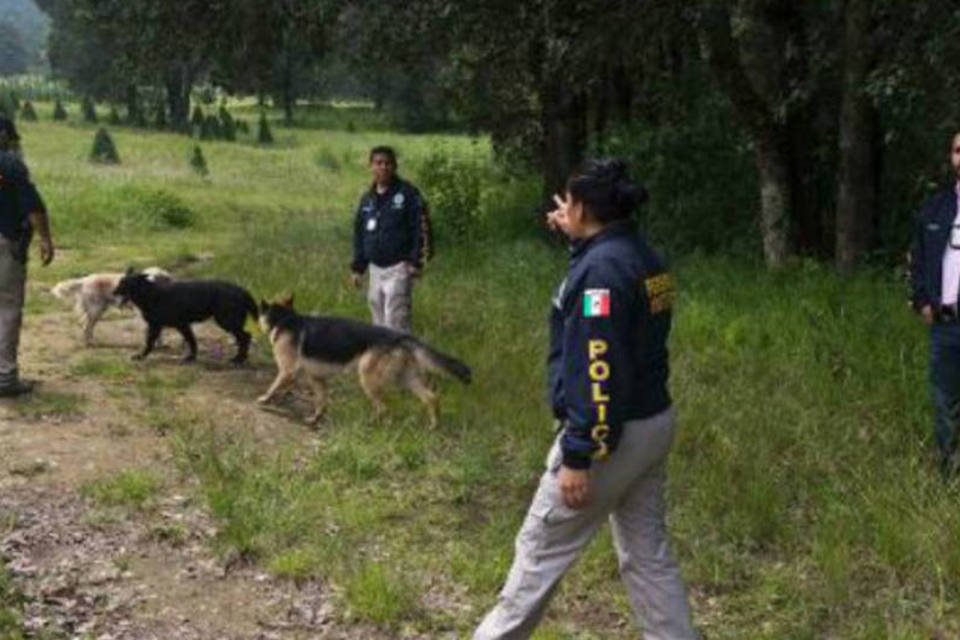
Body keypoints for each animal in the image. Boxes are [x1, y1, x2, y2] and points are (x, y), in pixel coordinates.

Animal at [115, 268, 258, 362]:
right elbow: (190, 341)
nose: (113, 292)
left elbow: (189, 341)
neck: (151, 294)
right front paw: (191, 357)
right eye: (120, 281)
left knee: (245, 337)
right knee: (244, 337)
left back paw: (239, 359)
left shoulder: (179, 325)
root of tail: (242, 290)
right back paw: (240, 358)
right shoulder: (164, 326)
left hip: (226, 321)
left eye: (125, 283)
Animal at [256, 298, 470, 428]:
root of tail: (401, 337)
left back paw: (377, 427)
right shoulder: (317, 379)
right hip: (406, 379)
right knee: (431, 398)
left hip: (368, 379)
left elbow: (274, 386)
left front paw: (265, 399)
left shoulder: (287, 371)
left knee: (384, 408)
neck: (285, 319)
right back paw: (433, 426)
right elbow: (321, 401)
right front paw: (315, 419)